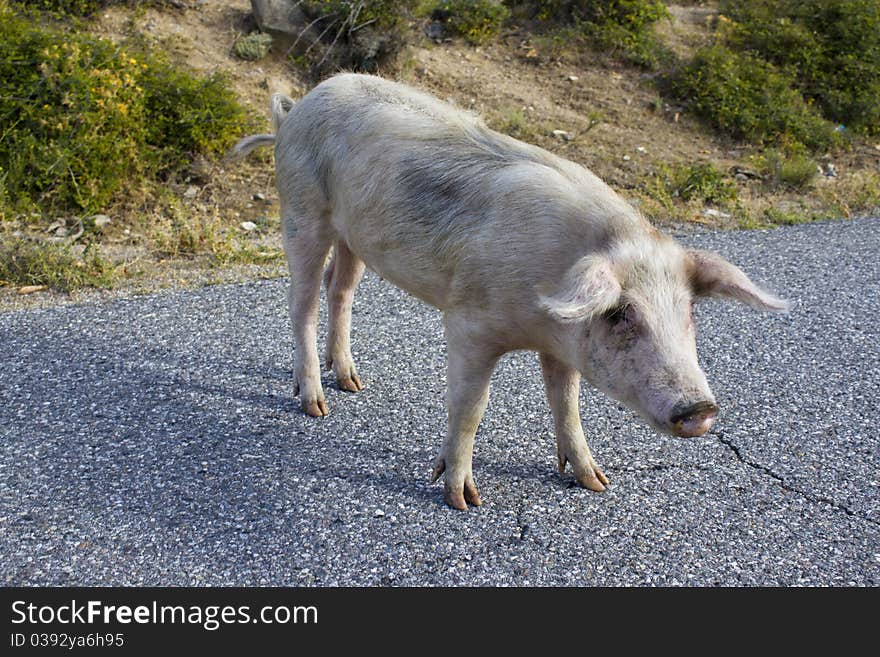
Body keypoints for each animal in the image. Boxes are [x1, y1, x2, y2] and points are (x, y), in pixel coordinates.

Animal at [229, 74, 792, 510]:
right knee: (302, 300)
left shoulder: (561, 344)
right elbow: (471, 404)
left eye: (690, 310)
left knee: (339, 288)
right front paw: (463, 500)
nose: (700, 409)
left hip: (355, 235)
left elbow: (566, 401)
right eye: (618, 313)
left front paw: (595, 482)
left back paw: (352, 383)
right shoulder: (468, 322)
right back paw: (316, 405)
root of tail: (297, 107)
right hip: (302, 209)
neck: (540, 316)